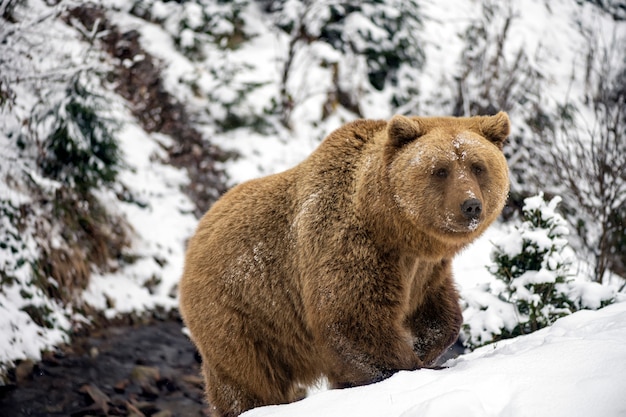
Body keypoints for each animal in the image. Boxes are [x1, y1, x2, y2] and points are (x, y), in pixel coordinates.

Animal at [178, 111, 510, 416]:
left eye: (478, 166)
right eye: (440, 170)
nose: (470, 205)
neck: (393, 228)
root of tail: (197, 233)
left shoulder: (426, 270)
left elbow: (439, 315)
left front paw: (423, 348)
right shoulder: (348, 246)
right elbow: (352, 320)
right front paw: (405, 368)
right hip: (243, 312)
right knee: (248, 378)